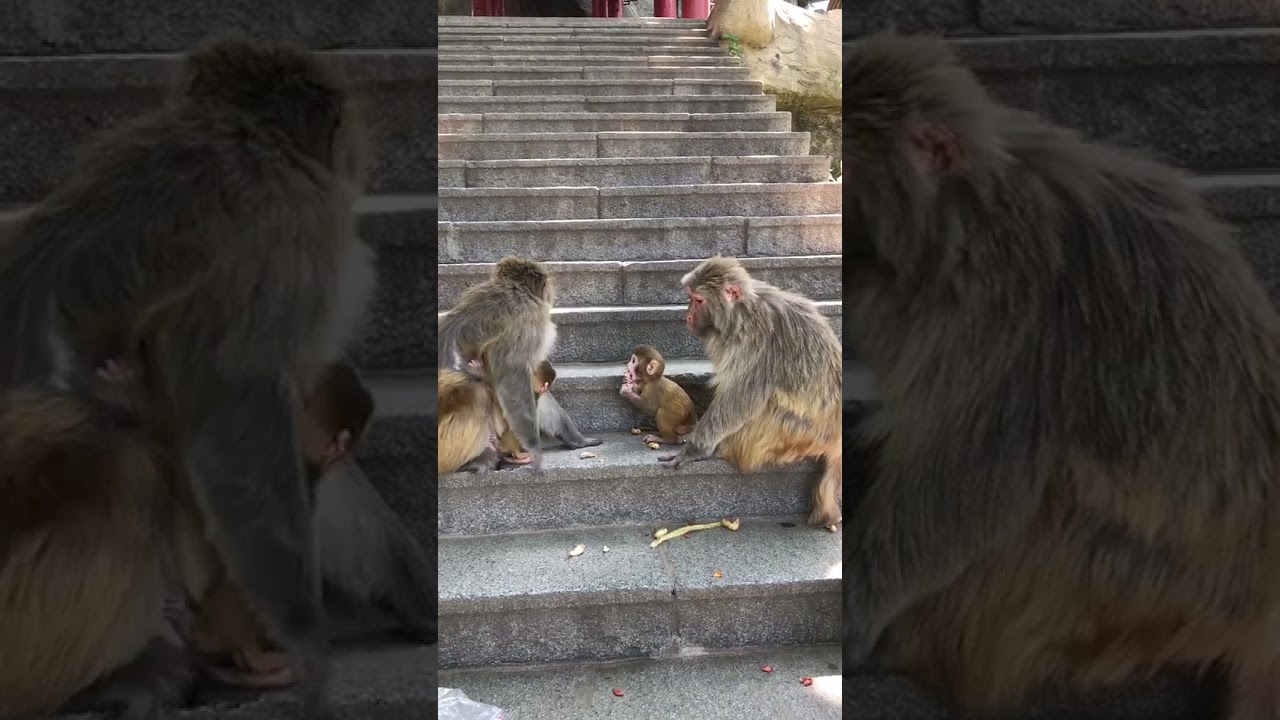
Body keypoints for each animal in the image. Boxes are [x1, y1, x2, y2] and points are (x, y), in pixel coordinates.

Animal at [841, 31, 1280, 720]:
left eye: (851, 170)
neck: (971, 207)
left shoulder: (1007, 295)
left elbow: (968, 481)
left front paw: (855, 608)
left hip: (1115, 591)